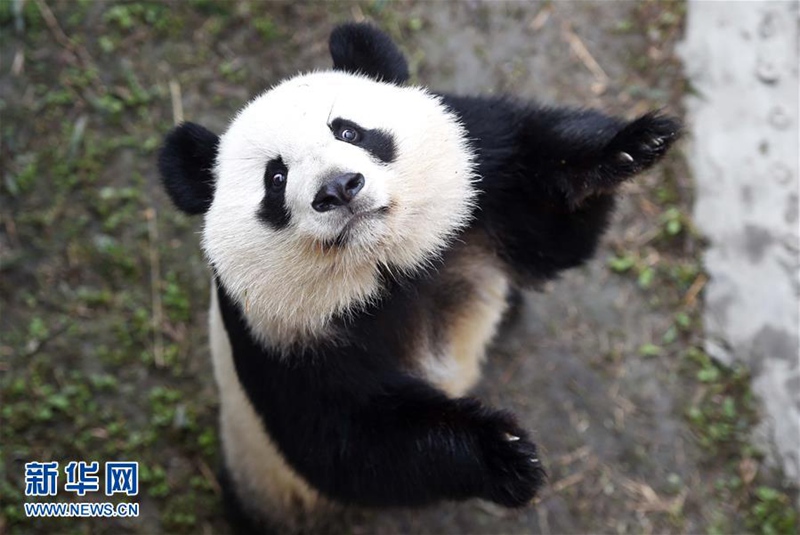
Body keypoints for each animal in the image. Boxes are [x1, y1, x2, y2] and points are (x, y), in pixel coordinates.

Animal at [158, 23, 680, 533]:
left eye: (348, 130)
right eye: (276, 178)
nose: (337, 188)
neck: (385, 266)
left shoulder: (482, 183)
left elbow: (550, 231)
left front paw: (630, 147)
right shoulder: (275, 333)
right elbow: (348, 441)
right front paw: (504, 455)